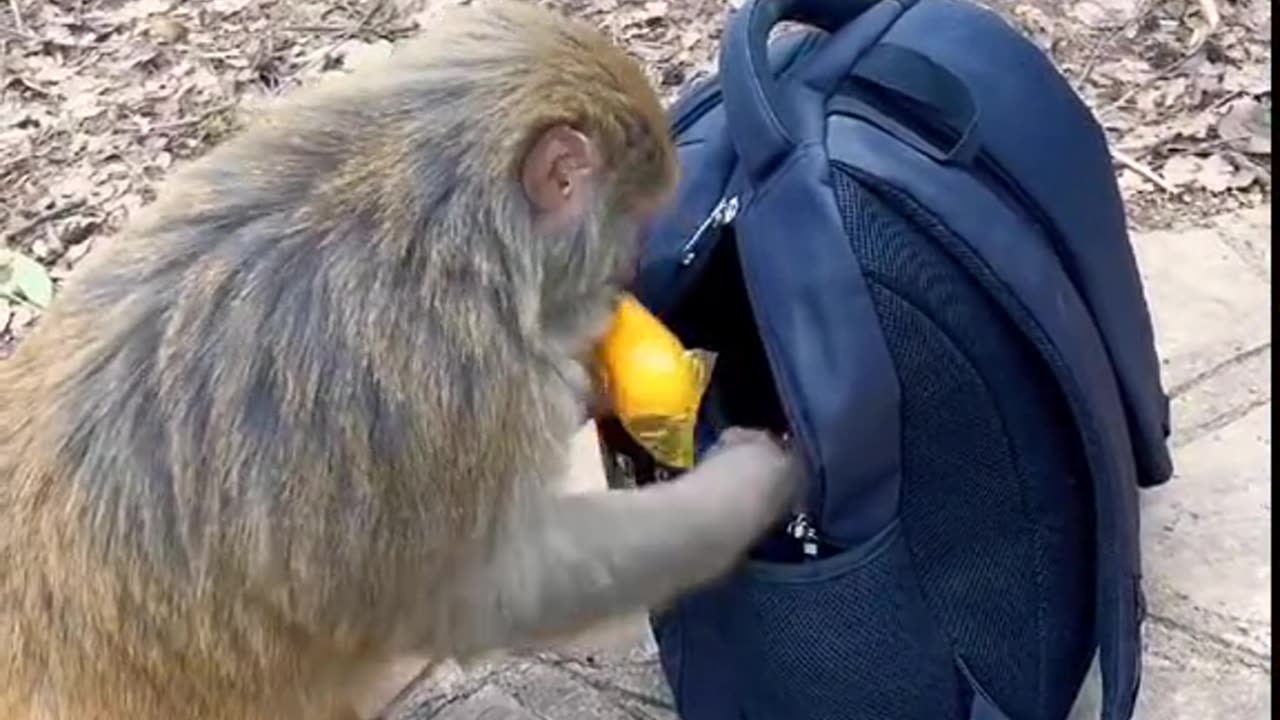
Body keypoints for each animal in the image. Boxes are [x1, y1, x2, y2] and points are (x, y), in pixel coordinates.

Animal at [0, 2, 801, 719]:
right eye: (633, 224)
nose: (626, 277)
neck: (435, 225)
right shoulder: (451, 383)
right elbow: (499, 590)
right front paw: (754, 483)